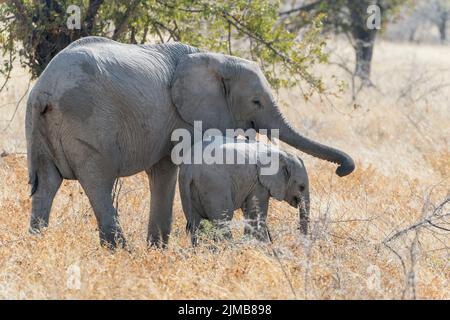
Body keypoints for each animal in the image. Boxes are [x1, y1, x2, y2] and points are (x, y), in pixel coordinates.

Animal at [177, 137, 310, 245]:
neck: (283, 154)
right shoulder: (259, 184)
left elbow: (249, 213)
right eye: (301, 187)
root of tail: (190, 170)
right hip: (215, 186)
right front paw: (264, 247)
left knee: (195, 223)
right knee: (223, 221)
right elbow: (256, 214)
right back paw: (231, 248)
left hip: (186, 187)